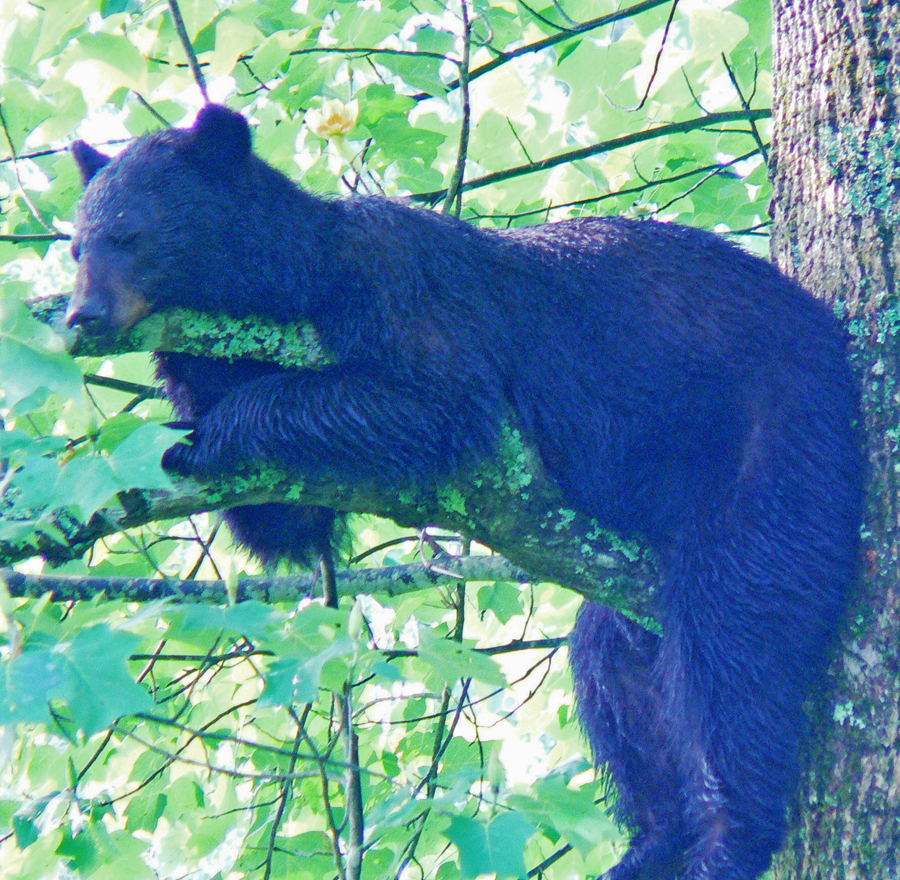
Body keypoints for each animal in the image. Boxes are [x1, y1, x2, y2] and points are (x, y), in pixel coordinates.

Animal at [67, 108, 860, 880]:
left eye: (128, 234)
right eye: (76, 245)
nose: (82, 317)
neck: (292, 282)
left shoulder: (398, 287)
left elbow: (430, 402)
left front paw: (210, 431)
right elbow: (287, 520)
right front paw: (174, 431)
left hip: (774, 444)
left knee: (731, 632)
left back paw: (729, 840)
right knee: (616, 666)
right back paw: (651, 844)